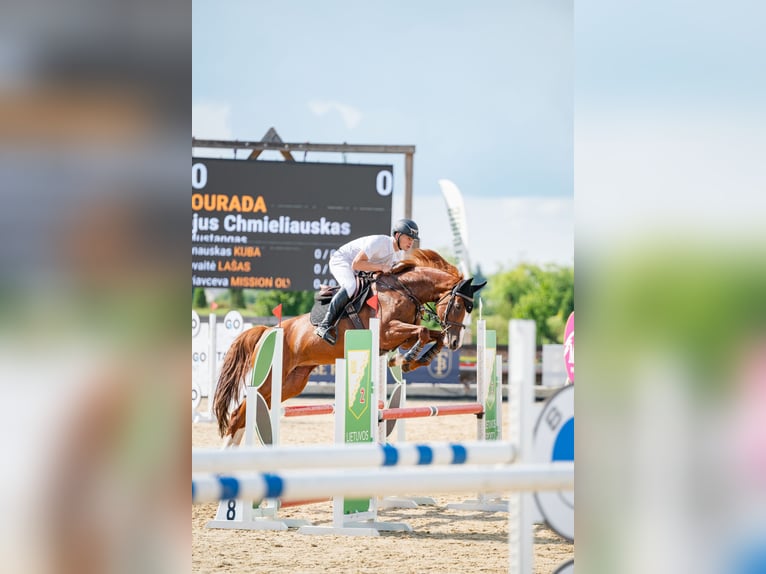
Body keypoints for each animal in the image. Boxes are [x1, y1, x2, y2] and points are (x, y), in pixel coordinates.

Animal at [213, 249, 486, 444]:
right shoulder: (387, 332)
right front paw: (407, 359)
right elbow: (423, 332)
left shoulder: (400, 335)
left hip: (291, 382)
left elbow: (431, 335)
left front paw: (423, 357)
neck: (405, 291)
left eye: (470, 309)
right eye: (459, 306)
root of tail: (268, 331)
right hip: (271, 378)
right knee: (238, 415)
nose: (456, 342)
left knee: (245, 415)